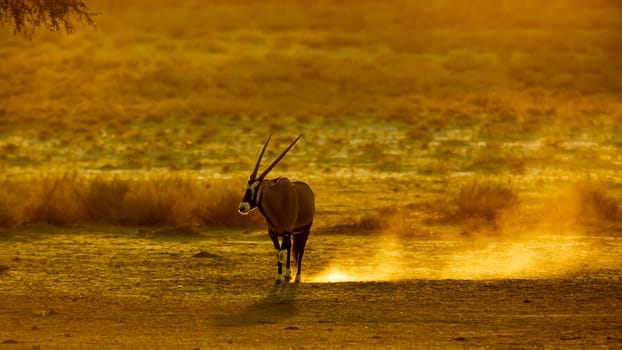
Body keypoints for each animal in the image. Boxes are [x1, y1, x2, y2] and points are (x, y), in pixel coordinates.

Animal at [240, 135, 316, 284]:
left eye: (256, 188)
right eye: (247, 187)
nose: (242, 207)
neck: (278, 204)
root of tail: (308, 189)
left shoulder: (286, 232)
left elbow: (282, 253)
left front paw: (280, 277)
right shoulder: (274, 233)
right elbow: (278, 252)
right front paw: (281, 275)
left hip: (305, 230)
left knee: (300, 252)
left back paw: (297, 277)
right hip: (293, 233)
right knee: (290, 248)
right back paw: (288, 274)